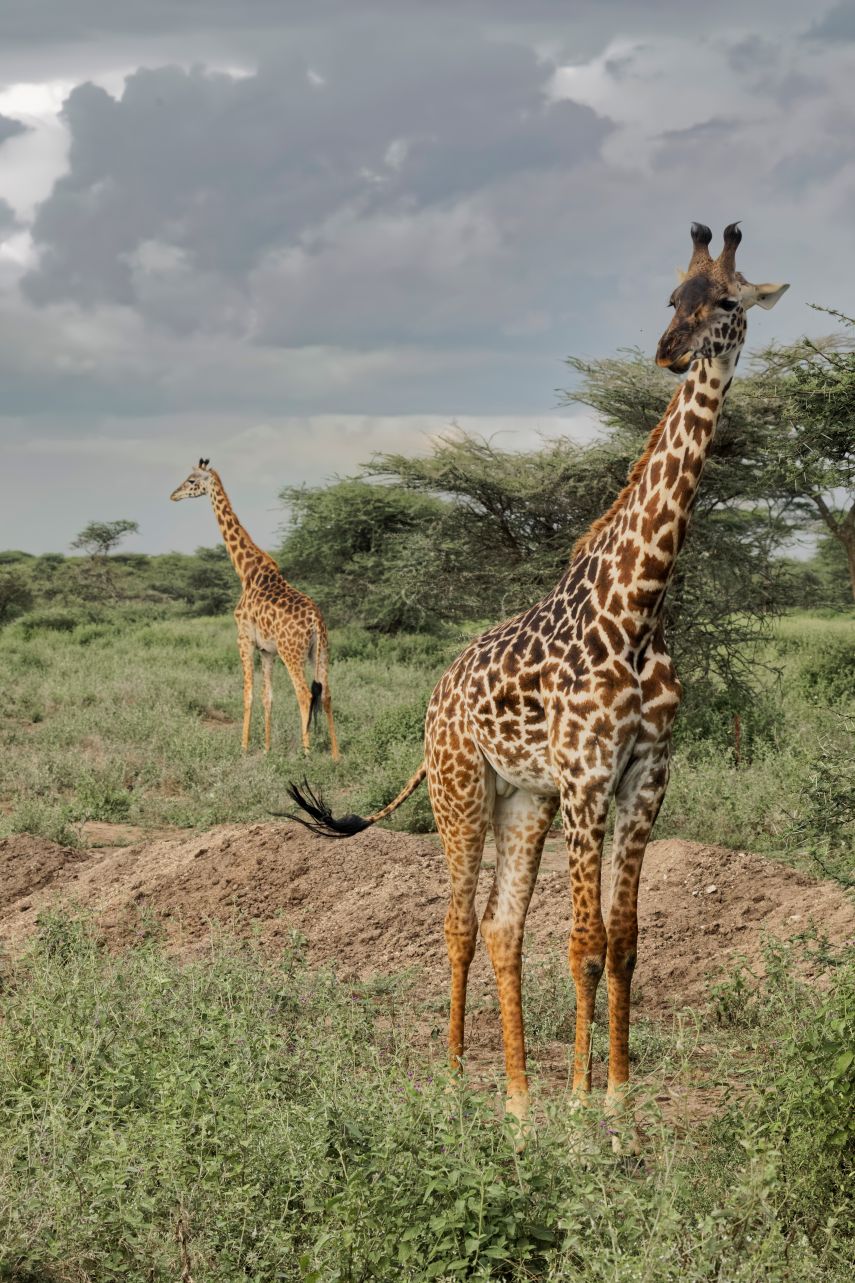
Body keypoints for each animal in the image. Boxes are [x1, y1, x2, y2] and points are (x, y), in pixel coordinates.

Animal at [170, 460, 340, 760]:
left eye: (191, 480)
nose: (173, 495)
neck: (246, 571)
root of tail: (314, 621)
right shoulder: (266, 650)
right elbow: (267, 696)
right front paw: (267, 748)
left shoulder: (244, 638)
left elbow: (247, 693)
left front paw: (243, 746)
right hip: (320, 652)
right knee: (327, 694)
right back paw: (335, 754)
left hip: (292, 652)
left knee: (305, 694)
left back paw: (307, 752)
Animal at [288, 223, 787, 1141]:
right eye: (672, 298)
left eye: (726, 301)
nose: (667, 353)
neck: (639, 606)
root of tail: (437, 694)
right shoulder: (587, 777)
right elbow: (583, 942)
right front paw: (585, 1111)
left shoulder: (645, 776)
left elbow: (623, 939)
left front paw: (617, 1099)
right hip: (460, 787)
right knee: (457, 921)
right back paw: (455, 1082)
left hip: (522, 798)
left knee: (500, 925)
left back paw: (518, 1100)